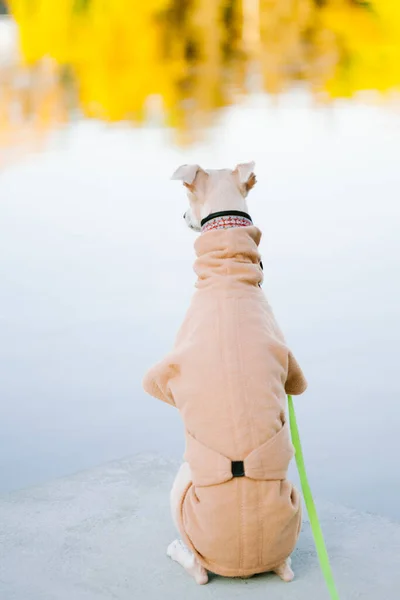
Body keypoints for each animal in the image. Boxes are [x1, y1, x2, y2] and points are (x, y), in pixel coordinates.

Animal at [143, 162, 306, 584]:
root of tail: (254, 562)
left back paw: (179, 551)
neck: (229, 268)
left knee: (198, 569)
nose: (181, 217)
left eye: (187, 198)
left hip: (181, 483)